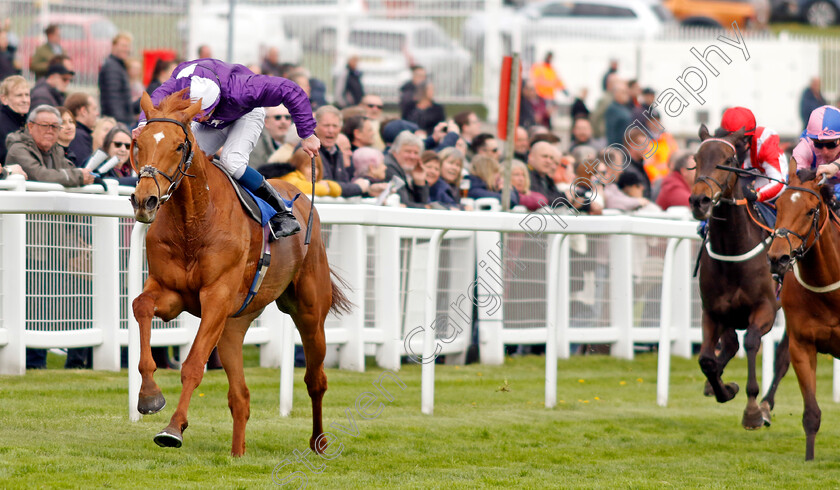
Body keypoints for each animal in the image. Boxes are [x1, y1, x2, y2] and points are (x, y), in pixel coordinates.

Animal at [129, 89, 352, 456]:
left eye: (178, 146)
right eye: (139, 143)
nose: (144, 200)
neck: (194, 221)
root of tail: (302, 197)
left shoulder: (216, 298)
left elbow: (193, 365)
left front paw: (173, 428)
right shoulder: (171, 292)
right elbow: (141, 306)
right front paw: (149, 396)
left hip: (309, 311)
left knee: (315, 380)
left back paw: (319, 442)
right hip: (234, 325)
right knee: (241, 397)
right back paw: (238, 453)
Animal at [684, 125, 792, 428]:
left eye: (728, 161)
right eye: (696, 159)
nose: (699, 200)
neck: (732, 248)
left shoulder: (765, 308)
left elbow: (752, 342)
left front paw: (752, 409)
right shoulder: (713, 311)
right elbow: (706, 359)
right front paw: (724, 389)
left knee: (783, 356)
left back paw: (765, 404)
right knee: (731, 344)